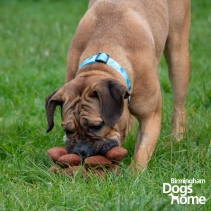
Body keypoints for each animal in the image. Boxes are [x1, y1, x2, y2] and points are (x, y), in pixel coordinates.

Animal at [45, 0, 190, 170]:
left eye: (96, 126)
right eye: (67, 130)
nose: (80, 151)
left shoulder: (151, 116)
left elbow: (142, 151)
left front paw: (134, 173)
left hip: (178, 56)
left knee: (179, 106)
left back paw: (177, 138)